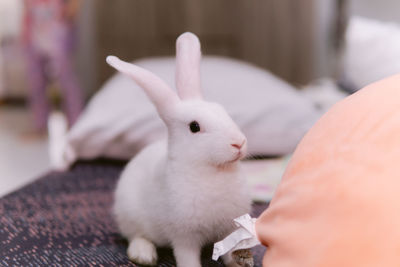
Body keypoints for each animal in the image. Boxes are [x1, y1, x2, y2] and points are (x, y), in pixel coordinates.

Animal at [108, 33, 252, 267]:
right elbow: (187, 257)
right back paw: (143, 255)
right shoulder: (184, 236)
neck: (211, 170)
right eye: (194, 127)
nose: (238, 143)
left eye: (222, 110)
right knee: (137, 236)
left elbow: (231, 249)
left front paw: (239, 262)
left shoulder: (229, 227)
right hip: (130, 215)